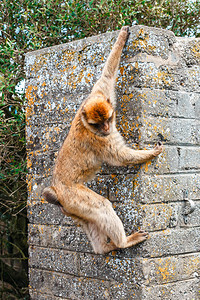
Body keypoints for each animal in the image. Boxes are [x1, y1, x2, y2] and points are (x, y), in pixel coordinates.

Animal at [43, 26, 163, 255]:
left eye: (107, 119)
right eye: (98, 125)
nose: (106, 128)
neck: (86, 124)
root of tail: (57, 191)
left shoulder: (99, 93)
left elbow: (107, 75)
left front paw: (122, 36)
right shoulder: (100, 140)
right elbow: (120, 157)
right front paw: (151, 153)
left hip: (72, 209)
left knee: (89, 221)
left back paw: (105, 248)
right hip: (75, 198)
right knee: (102, 207)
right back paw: (124, 242)